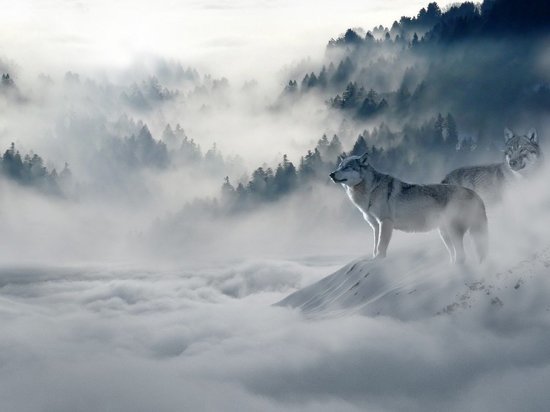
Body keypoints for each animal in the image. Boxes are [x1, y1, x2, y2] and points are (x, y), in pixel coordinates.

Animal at [330, 152, 490, 264]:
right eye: (339, 166)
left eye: (347, 167)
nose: (331, 174)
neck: (370, 190)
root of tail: (476, 194)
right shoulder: (375, 226)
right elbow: (375, 247)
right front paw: (373, 259)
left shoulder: (385, 223)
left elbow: (381, 247)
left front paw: (379, 260)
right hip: (444, 234)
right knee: (457, 255)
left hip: (453, 232)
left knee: (462, 256)